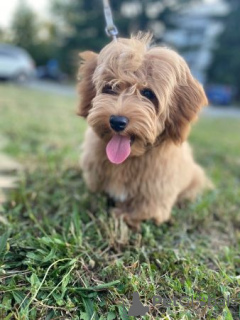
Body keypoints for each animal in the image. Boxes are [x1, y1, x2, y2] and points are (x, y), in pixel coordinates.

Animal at [78, 33, 211, 230]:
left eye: (148, 94)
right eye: (110, 87)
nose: (117, 122)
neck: (128, 159)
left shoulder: (156, 195)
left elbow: (140, 211)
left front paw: (120, 214)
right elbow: (94, 195)